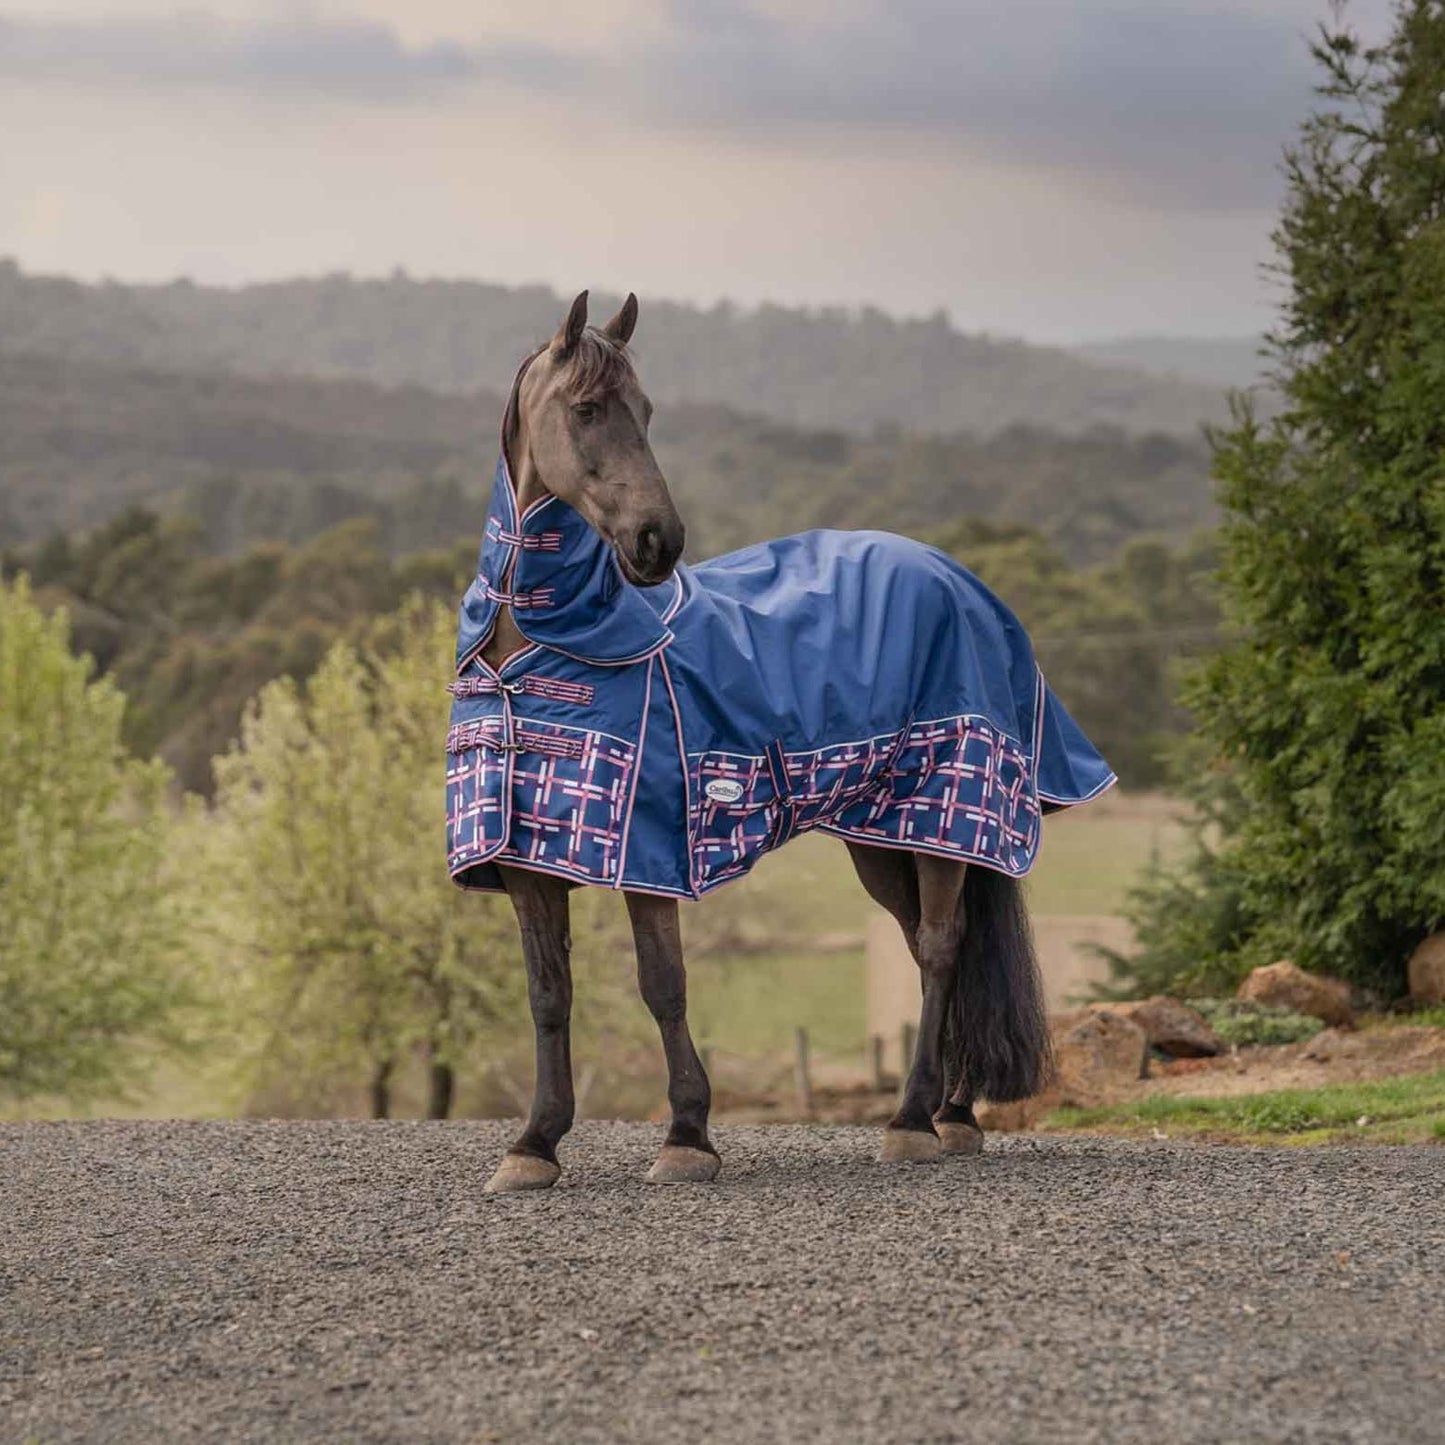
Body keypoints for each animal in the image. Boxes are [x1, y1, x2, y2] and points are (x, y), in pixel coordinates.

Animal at [445, 290, 1115, 1192]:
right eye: (585, 409)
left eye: (645, 411)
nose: (658, 542)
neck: (560, 643)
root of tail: (960, 580)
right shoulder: (528, 861)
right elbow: (548, 993)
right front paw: (534, 1142)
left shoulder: (649, 853)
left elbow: (663, 983)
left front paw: (687, 1134)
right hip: (882, 835)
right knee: (926, 948)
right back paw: (953, 1111)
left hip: (946, 812)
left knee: (941, 947)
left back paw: (912, 1119)